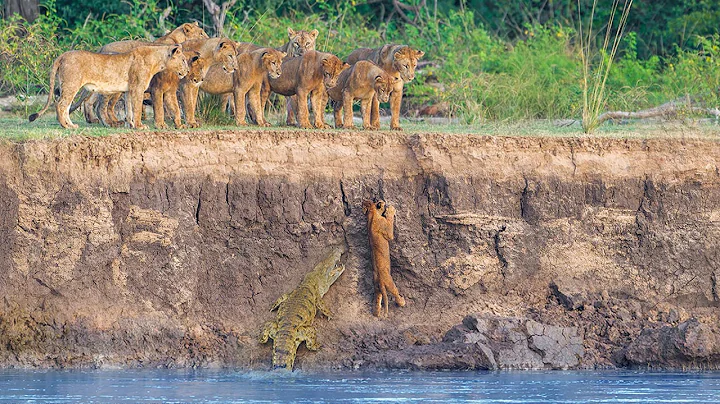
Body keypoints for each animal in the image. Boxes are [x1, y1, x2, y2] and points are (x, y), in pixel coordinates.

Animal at [29, 45, 188, 129]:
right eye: (183, 60)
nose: (187, 71)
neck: (157, 60)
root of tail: (62, 55)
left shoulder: (128, 90)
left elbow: (130, 109)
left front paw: (130, 125)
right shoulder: (137, 88)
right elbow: (137, 109)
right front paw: (139, 126)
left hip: (68, 86)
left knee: (66, 106)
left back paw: (70, 125)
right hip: (72, 84)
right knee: (61, 104)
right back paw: (67, 126)